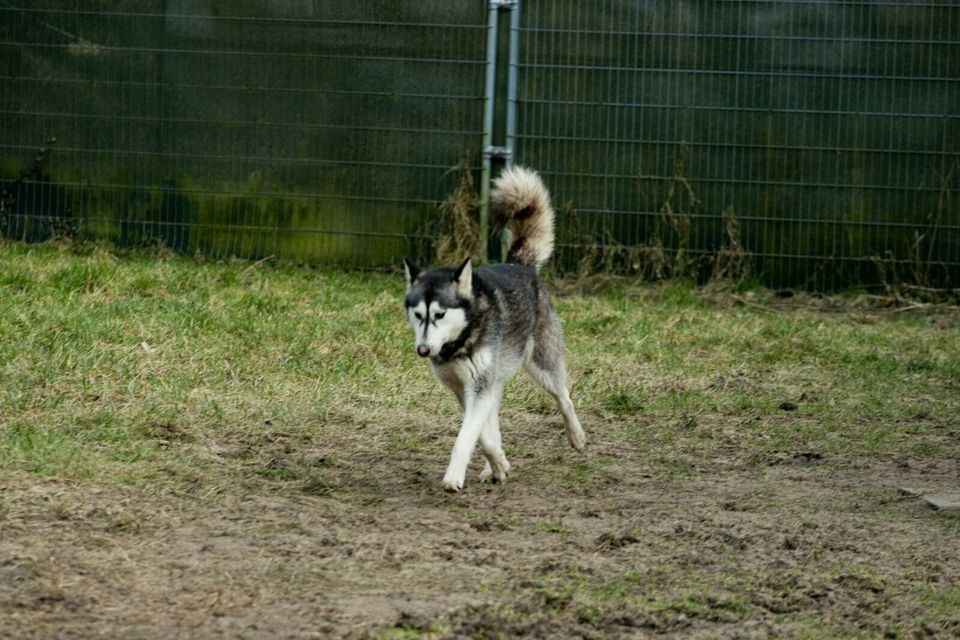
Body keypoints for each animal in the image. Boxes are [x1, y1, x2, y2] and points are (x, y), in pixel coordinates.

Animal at [400, 168, 580, 492]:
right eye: (418, 315)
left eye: (440, 315)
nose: (423, 350)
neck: (459, 342)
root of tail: (518, 264)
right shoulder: (463, 389)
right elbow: (481, 436)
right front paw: (499, 463)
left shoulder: (479, 386)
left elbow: (466, 437)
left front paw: (454, 477)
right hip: (497, 378)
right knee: (494, 424)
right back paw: (492, 469)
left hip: (541, 365)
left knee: (564, 397)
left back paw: (577, 436)